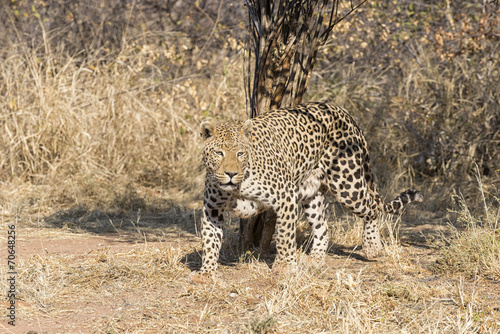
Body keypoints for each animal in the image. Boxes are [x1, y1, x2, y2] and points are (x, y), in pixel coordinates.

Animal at [188, 100, 422, 284]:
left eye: (240, 153)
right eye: (219, 153)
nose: (230, 173)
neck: (238, 187)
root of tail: (343, 112)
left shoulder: (285, 198)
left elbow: (285, 235)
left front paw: (284, 267)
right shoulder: (212, 209)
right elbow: (210, 241)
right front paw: (206, 272)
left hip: (347, 184)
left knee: (372, 209)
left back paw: (373, 248)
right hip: (312, 194)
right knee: (322, 226)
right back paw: (315, 258)